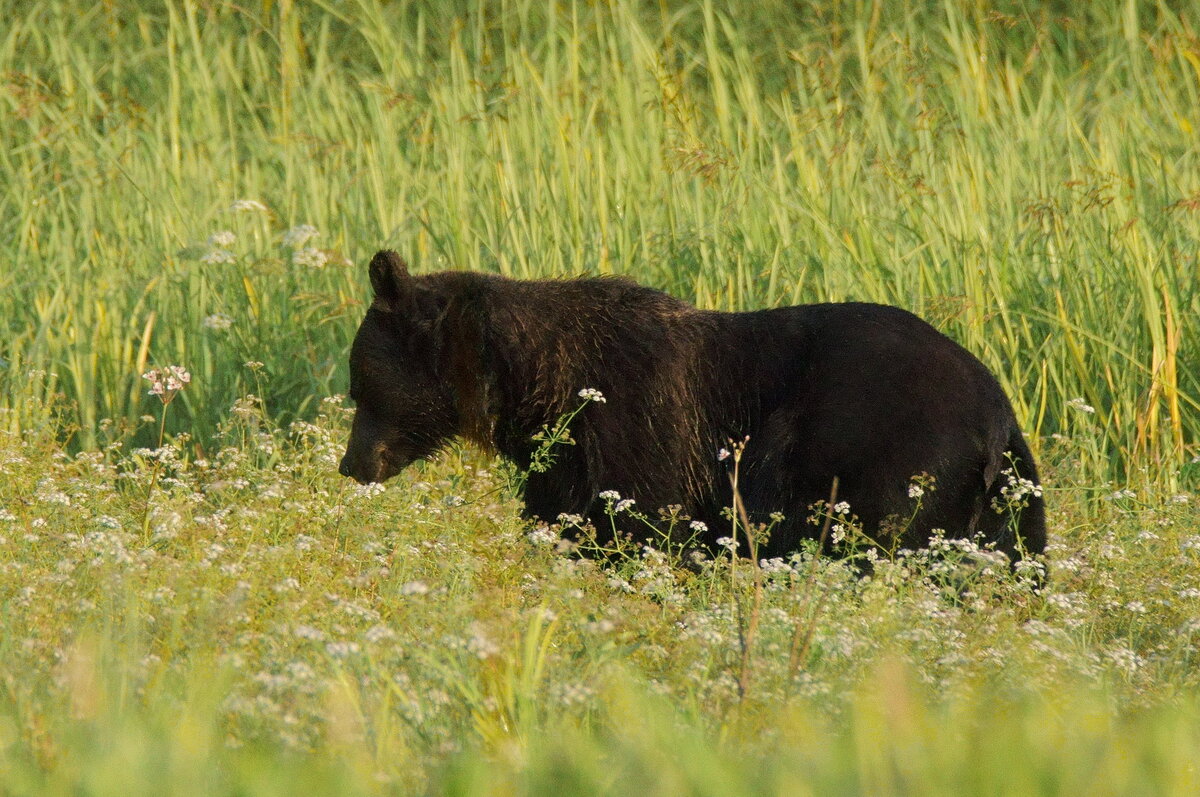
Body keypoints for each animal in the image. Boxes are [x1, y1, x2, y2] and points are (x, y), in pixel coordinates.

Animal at [343, 252, 1046, 564]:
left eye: (358, 385)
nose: (352, 464)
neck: (531, 383)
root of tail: (996, 411)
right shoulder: (564, 463)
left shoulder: (634, 422)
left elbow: (642, 523)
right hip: (1008, 499)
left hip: (894, 459)